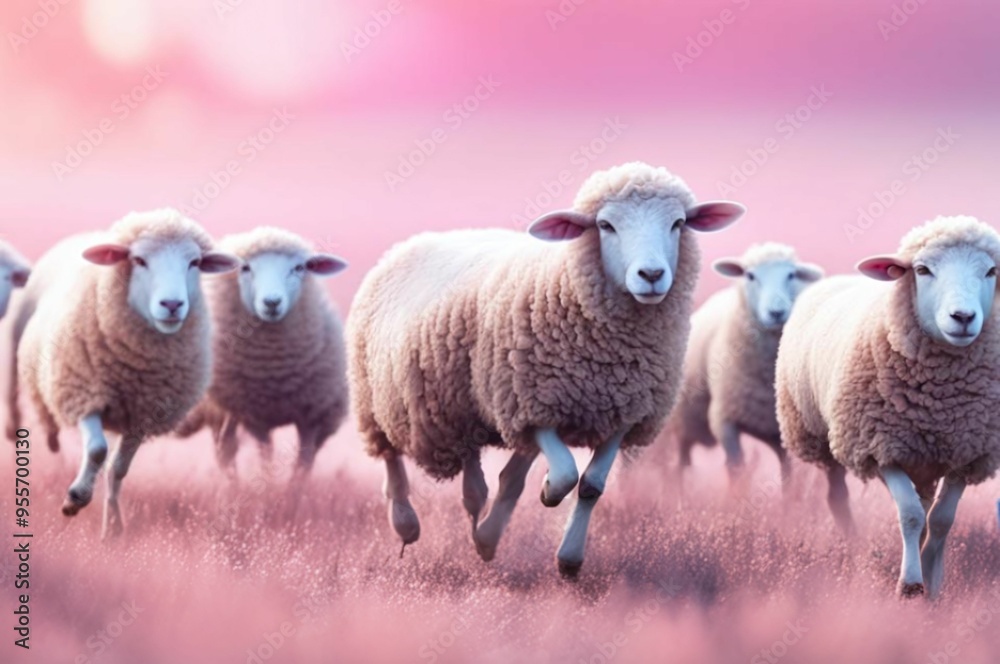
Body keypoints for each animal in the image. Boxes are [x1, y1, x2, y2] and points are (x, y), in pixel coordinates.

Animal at [15, 209, 238, 538]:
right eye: (139, 260)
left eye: (195, 263)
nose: (172, 304)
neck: (135, 369)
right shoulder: (83, 395)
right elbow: (97, 450)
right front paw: (75, 499)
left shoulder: (142, 416)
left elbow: (118, 469)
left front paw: (113, 527)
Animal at [175, 227, 349, 483]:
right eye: (245, 268)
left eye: (299, 268)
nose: (272, 302)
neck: (275, 372)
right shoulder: (244, 412)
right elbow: (247, 458)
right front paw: (252, 492)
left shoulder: (313, 416)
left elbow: (302, 465)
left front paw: (290, 494)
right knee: (232, 450)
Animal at [348, 161, 745, 574]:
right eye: (605, 225)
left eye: (678, 223)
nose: (651, 275)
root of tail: (411, 244)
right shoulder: (531, 405)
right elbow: (566, 473)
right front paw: (550, 494)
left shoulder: (622, 414)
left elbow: (590, 486)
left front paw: (568, 559)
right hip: (374, 398)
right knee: (391, 462)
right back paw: (406, 524)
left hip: (463, 405)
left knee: (482, 478)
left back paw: (484, 533)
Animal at [669, 243, 822, 489]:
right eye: (750, 275)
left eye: (791, 275)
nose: (776, 312)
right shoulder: (723, 421)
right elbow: (736, 469)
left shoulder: (782, 433)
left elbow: (789, 477)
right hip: (682, 425)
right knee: (679, 466)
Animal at [775, 216, 1000, 598]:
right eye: (922, 270)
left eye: (991, 271)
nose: (963, 316)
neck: (938, 400)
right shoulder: (880, 447)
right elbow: (910, 514)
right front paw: (909, 584)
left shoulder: (967, 450)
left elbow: (941, 519)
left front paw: (933, 582)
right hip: (825, 438)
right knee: (839, 497)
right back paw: (853, 546)